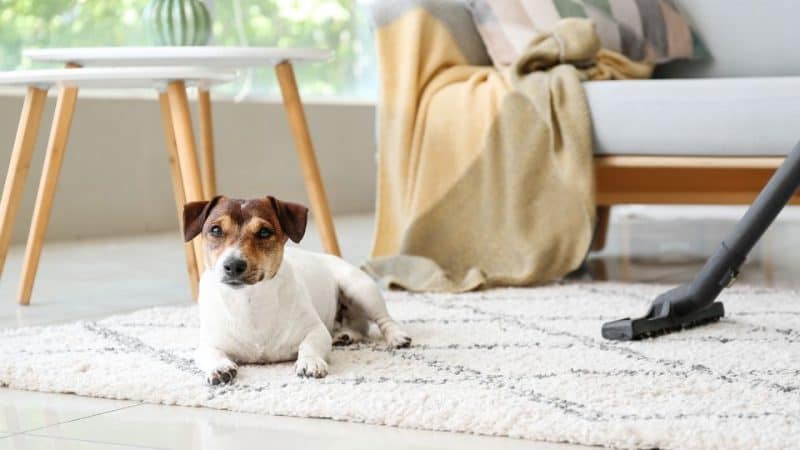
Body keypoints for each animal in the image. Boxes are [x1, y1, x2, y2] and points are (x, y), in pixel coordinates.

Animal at [184, 195, 410, 384]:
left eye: (264, 232)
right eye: (215, 230)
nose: (233, 265)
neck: (250, 301)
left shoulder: (316, 330)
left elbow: (309, 345)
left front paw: (310, 362)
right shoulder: (208, 342)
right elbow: (210, 353)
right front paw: (220, 367)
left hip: (360, 288)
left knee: (383, 319)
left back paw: (397, 336)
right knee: (360, 327)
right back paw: (346, 335)